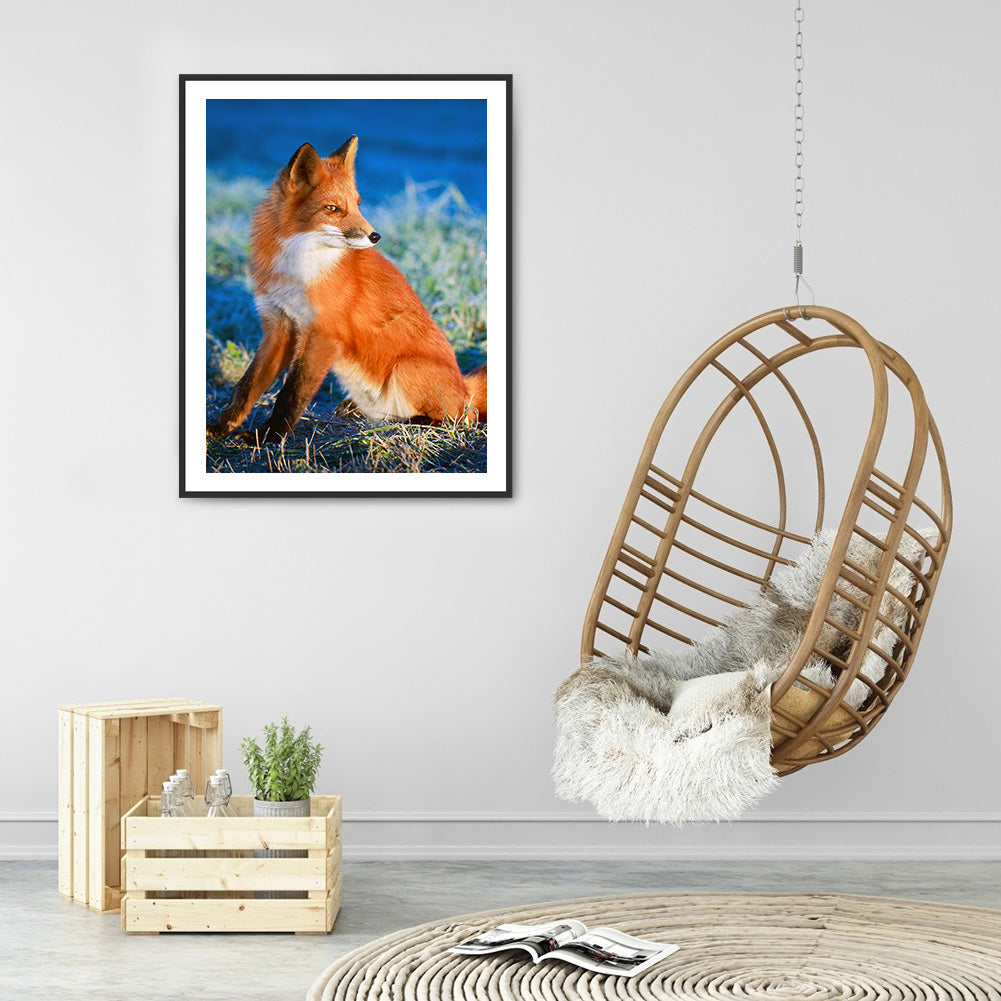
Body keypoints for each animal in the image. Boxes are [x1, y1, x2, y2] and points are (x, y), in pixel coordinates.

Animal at [208, 135, 486, 441]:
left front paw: (269, 437)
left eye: (357, 204)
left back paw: (412, 423)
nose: (375, 236)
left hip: (405, 369)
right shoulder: (278, 327)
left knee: (460, 419)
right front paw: (221, 427)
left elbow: (292, 394)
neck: (299, 265)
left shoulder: (322, 334)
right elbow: (246, 386)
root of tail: (465, 387)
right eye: (333, 208)